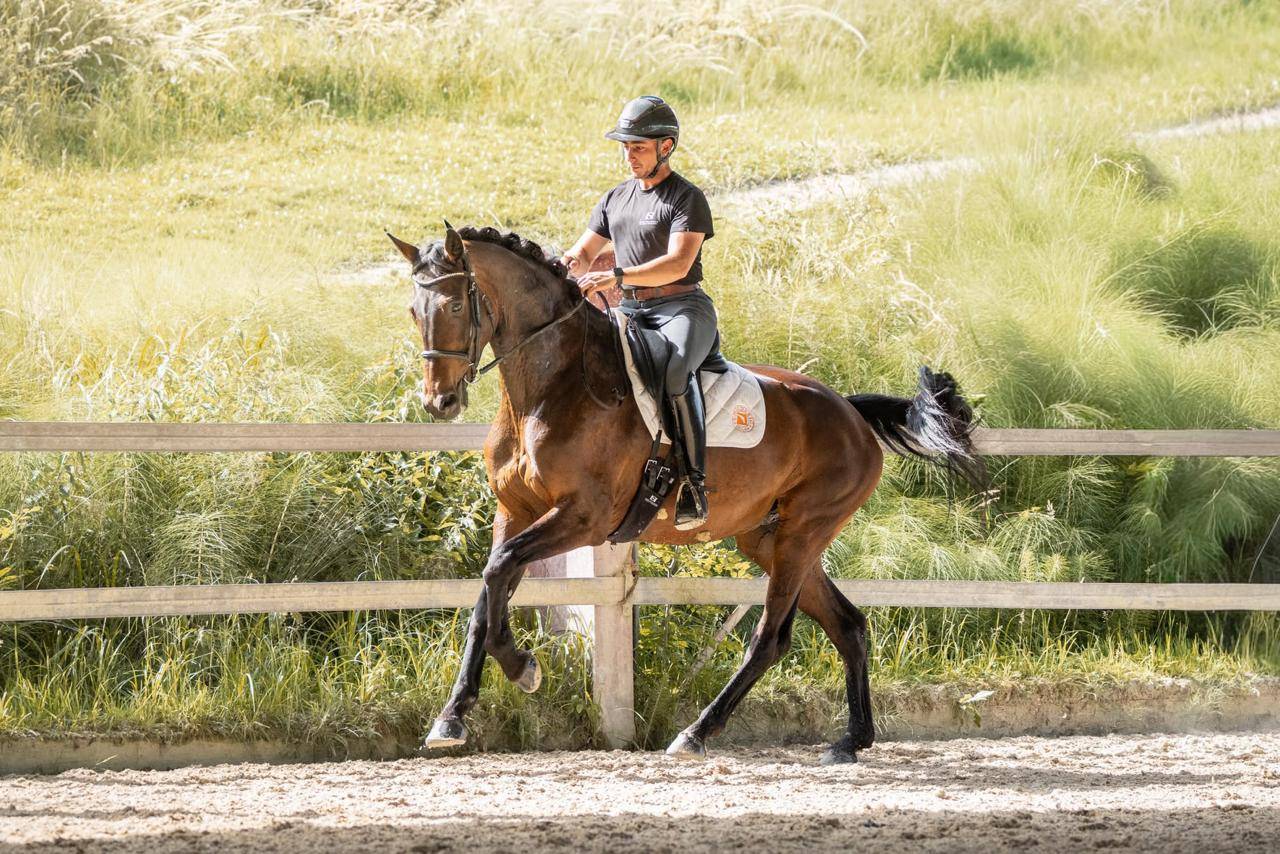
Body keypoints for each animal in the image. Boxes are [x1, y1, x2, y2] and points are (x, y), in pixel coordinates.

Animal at [387, 223, 984, 764]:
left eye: (456, 306)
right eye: (414, 312)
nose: (439, 402)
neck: (552, 387)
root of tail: (851, 412)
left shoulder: (584, 517)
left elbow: (498, 574)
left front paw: (520, 668)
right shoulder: (514, 512)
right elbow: (488, 593)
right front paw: (455, 715)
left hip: (802, 534)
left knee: (771, 638)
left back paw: (696, 733)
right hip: (770, 540)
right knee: (849, 625)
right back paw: (851, 740)